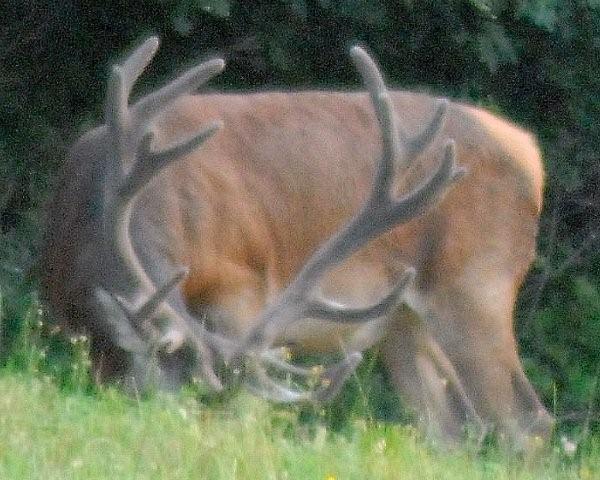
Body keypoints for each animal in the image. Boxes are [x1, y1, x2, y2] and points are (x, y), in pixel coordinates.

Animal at [38, 36, 552, 446]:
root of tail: (529, 152)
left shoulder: (243, 284)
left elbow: (248, 389)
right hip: (403, 322)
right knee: (448, 427)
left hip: (477, 286)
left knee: (525, 420)